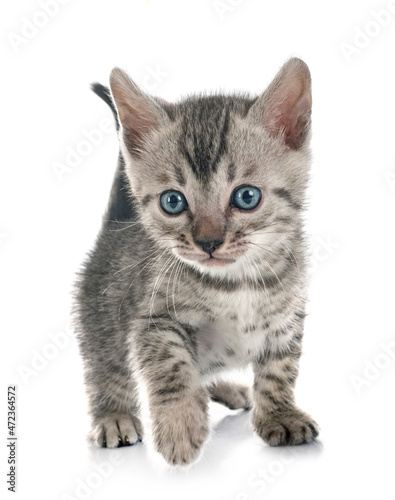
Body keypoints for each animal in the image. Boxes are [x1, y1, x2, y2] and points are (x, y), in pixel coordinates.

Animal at [76, 57, 320, 464]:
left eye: (247, 197)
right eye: (173, 202)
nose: (208, 241)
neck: (238, 282)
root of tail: (114, 228)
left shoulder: (288, 318)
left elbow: (280, 369)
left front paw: (280, 414)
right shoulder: (152, 320)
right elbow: (173, 364)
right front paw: (180, 427)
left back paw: (231, 390)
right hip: (102, 318)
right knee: (107, 368)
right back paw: (114, 416)